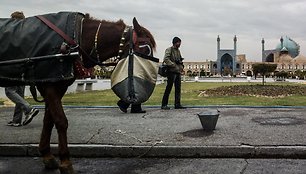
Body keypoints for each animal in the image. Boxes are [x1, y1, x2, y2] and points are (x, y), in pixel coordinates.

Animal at [0, 11, 157, 173]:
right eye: (146, 48)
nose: (155, 73)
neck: (78, 35)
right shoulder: (49, 85)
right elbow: (61, 121)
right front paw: (65, 162)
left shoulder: (54, 84)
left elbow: (49, 121)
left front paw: (47, 156)